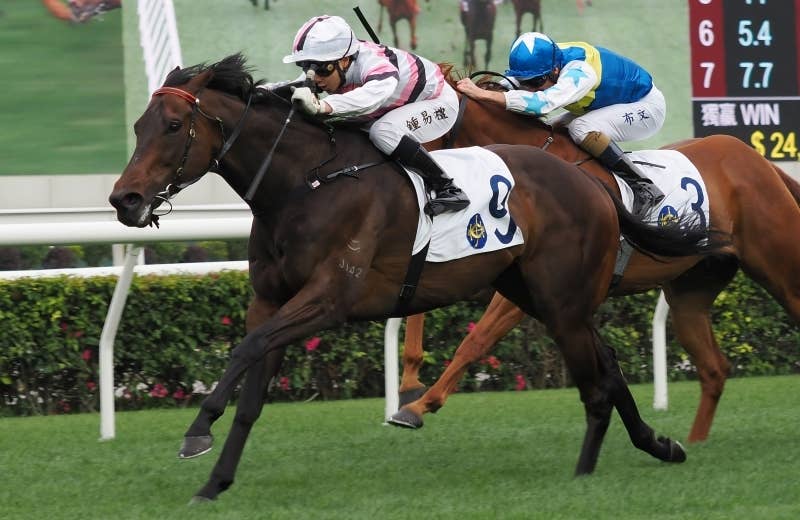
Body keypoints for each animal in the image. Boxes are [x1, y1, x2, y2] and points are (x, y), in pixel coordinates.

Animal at [108, 54, 710, 501]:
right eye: (137, 126)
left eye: (173, 126)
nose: (124, 199)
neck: (307, 183)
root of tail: (597, 184)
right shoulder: (271, 300)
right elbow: (252, 385)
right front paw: (215, 482)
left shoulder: (327, 299)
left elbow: (244, 348)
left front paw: (196, 432)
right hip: (539, 295)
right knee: (607, 368)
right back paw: (660, 445)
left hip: (560, 301)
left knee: (596, 384)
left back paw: (586, 472)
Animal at [392, 71, 800, 442]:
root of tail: (756, 160)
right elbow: (416, 308)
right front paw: (410, 383)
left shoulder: (532, 290)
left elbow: (474, 341)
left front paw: (419, 406)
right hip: (691, 292)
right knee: (714, 368)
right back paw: (694, 443)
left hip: (779, 264)